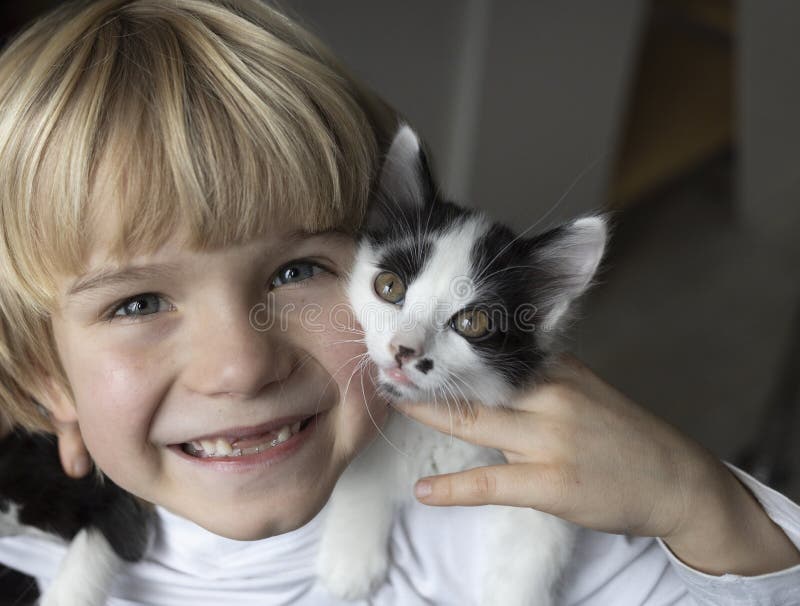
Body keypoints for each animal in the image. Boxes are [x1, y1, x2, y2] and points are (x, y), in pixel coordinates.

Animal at [318, 124, 608, 606]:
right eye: (389, 286)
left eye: (472, 322)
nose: (404, 349)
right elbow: (362, 463)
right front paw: (349, 563)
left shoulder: (541, 461)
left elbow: (542, 531)